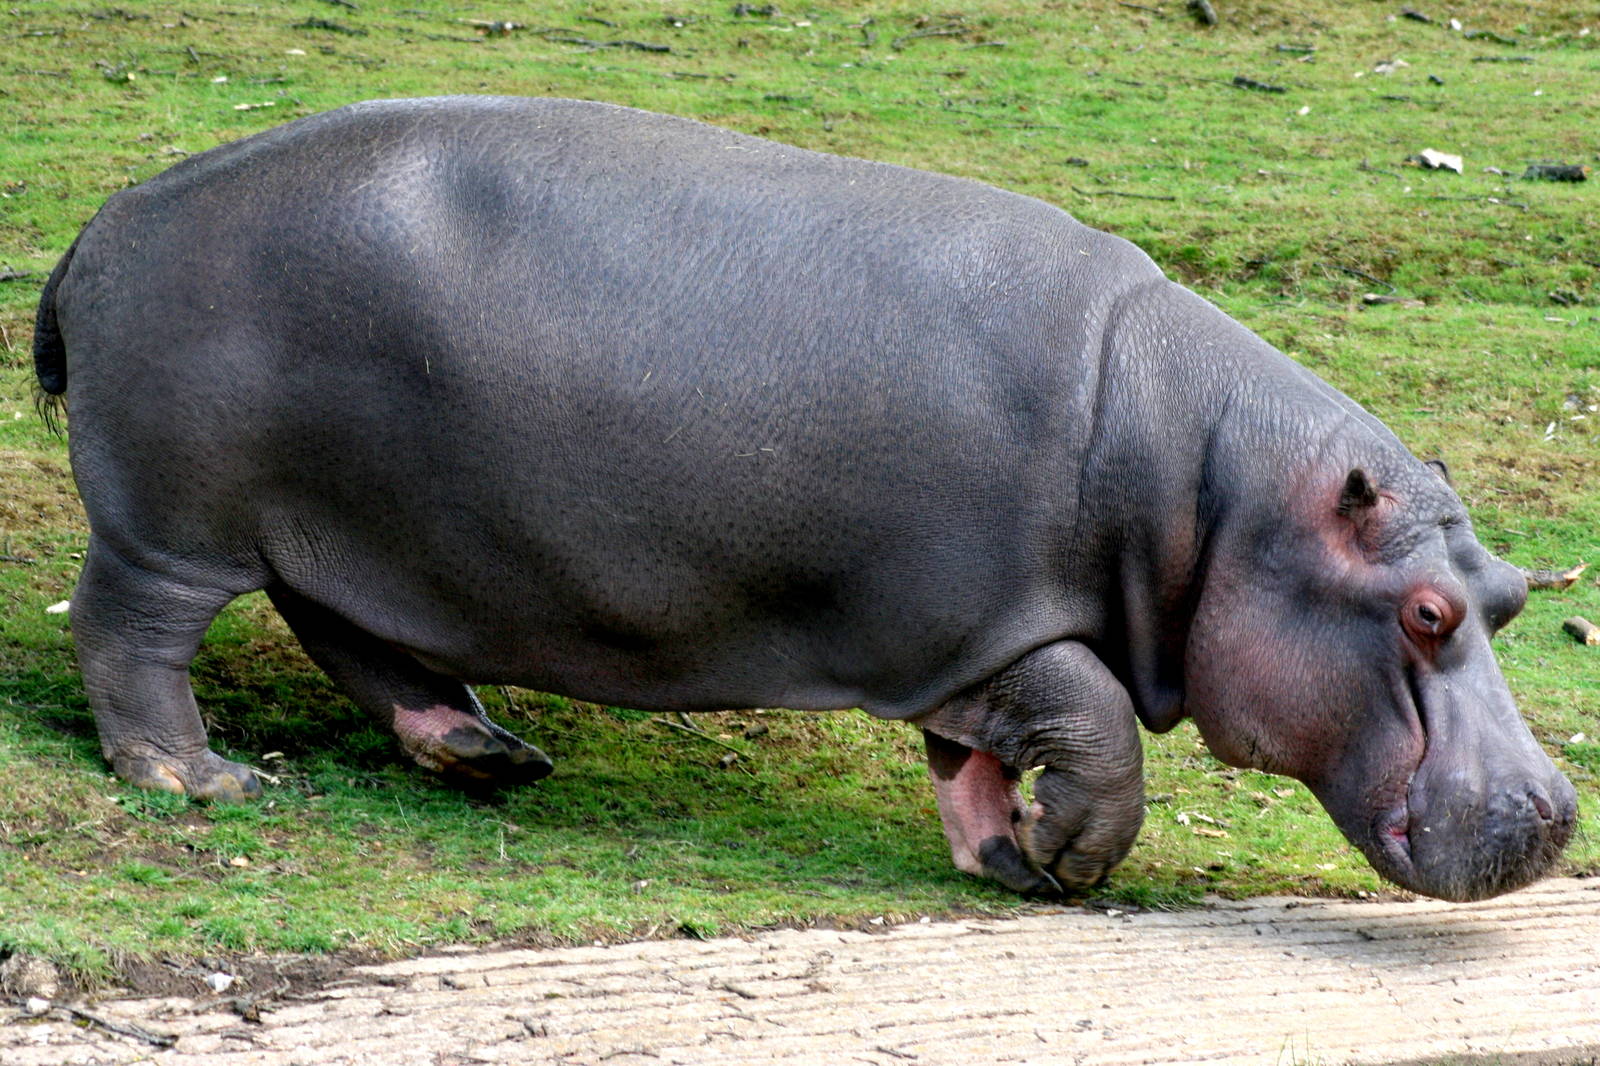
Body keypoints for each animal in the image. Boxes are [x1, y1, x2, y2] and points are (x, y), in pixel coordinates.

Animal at [34, 96, 1573, 902]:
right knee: (130, 634)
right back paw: (201, 777)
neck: (1218, 493)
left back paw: (487, 752)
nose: (1558, 812)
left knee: (357, 637)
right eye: (1426, 612)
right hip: (177, 524)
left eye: (1508, 595)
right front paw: (1067, 855)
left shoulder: (963, 639)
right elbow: (1090, 726)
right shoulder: (990, 618)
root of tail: (111, 214)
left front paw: (1004, 856)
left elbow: (974, 756)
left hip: (359, 534)